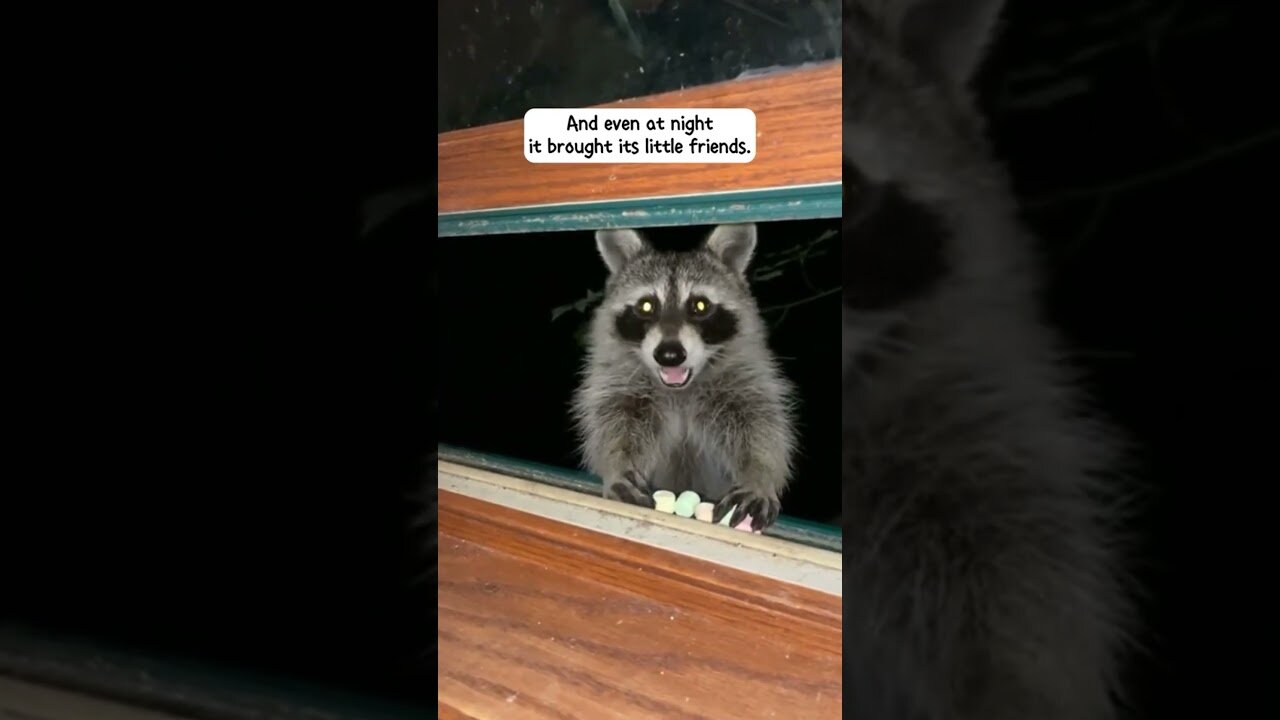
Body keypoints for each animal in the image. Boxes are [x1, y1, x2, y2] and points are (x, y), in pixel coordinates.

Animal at [570, 224, 797, 531]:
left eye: (700, 306)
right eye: (646, 306)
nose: (669, 355)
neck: (680, 389)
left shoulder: (746, 378)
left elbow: (760, 426)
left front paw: (759, 475)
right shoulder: (618, 381)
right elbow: (614, 421)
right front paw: (617, 464)